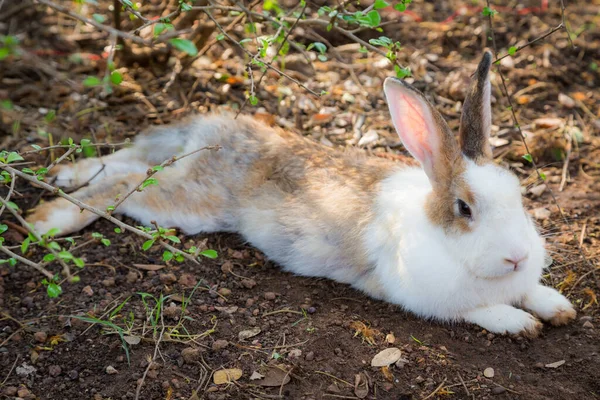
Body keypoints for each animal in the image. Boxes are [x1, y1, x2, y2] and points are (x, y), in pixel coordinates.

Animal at [28, 50, 576, 338]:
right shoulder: (426, 298)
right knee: (123, 187)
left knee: (131, 161)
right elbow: (482, 311)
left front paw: (558, 308)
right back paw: (45, 220)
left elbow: (533, 292)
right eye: (464, 208)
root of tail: (220, 132)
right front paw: (521, 323)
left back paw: (64, 172)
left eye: (519, 196)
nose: (516, 256)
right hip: (188, 204)